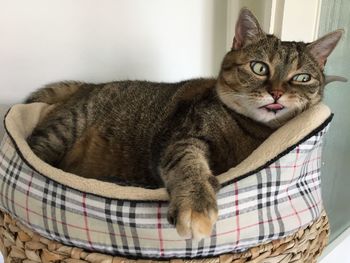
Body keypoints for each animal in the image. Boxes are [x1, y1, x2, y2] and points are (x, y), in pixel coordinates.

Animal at [26, 8, 344, 241]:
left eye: (302, 77)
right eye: (259, 67)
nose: (276, 93)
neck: (253, 133)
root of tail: (86, 85)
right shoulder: (180, 136)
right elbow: (187, 163)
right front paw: (196, 203)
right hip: (62, 130)